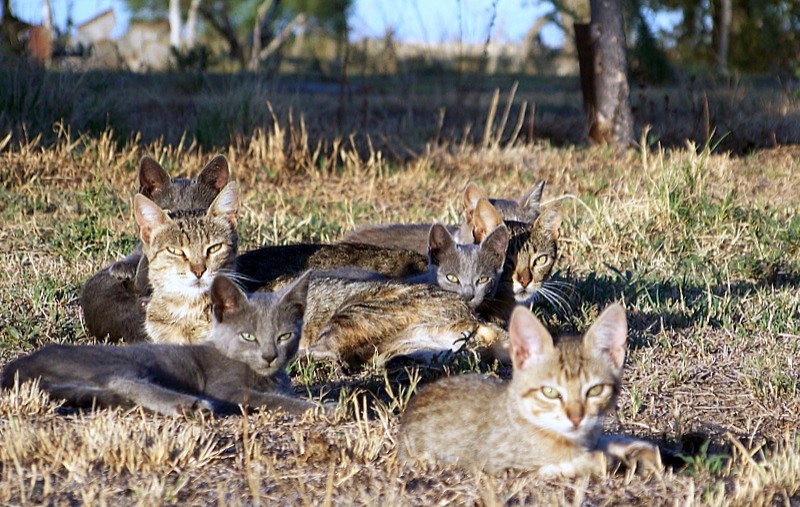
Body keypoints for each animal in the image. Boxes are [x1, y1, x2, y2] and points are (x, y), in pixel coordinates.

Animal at [398, 304, 664, 478]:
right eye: (550, 392)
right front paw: (599, 460)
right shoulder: (504, 469)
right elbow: (574, 464)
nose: (576, 418)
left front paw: (637, 451)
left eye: (595, 390)